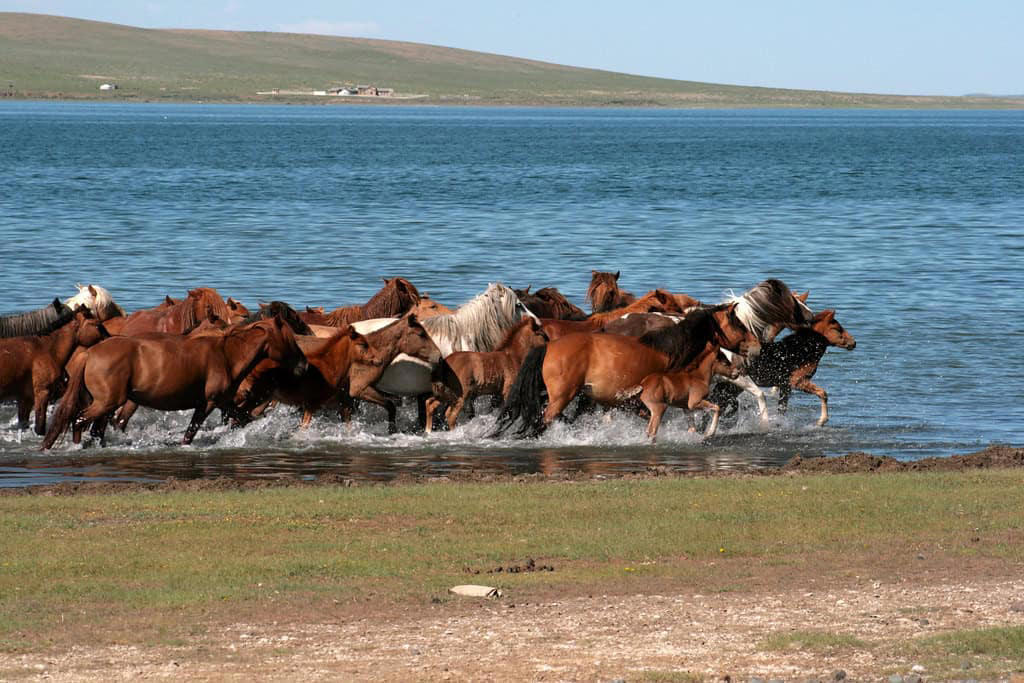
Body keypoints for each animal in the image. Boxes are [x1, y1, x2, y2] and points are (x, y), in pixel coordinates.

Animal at [41, 316, 307, 449]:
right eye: (289, 339)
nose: (303, 365)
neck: (226, 355)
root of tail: (90, 353)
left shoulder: (222, 403)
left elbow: (243, 418)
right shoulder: (208, 403)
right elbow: (191, 432)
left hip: (106, 404)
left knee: (92, 427)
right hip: (107, 403)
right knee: (78, 421)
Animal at [493, 304, 758, 438]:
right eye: (737, 322)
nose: (756, 346)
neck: (670, 349)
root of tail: (548, 346)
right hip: (562, 397)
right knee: (543, 422)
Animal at [709, 309, 856, 427]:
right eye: (837, 329)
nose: (853, 342)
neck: (803, 350)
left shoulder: (785, 386)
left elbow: (782, 409)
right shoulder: (796, 381)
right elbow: (823, 393)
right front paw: (821, 421)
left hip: (731, 387)